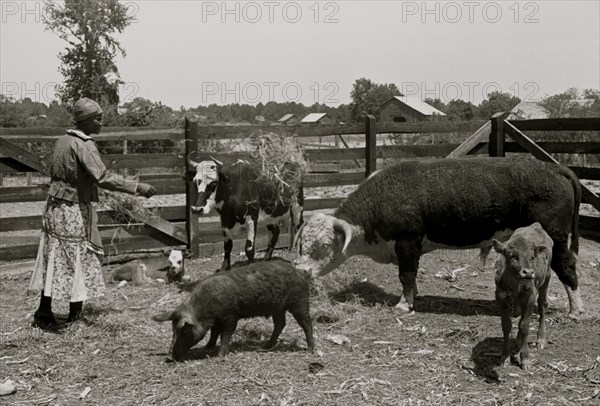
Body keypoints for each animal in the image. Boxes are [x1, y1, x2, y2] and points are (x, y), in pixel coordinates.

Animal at [152, 260, 316, 362]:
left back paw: (310, 350)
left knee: (306, 323)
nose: (168, 358)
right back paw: (265, 347)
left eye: (183, 331)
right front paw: (208, 346)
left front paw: (220, 356)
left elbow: (225, 334)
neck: (204, 308)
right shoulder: (217, 319)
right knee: (280, 324)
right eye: (173, 330)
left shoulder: (230, 316)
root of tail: (301, 272)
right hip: (278, 308)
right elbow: (214, 332)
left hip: (299, 301)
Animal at [292, 157, 584, 318]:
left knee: (567, 267)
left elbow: (406, 274)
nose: (300, 271)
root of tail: (555, 168)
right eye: (302, 243)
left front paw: (404, 304)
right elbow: (410, 276)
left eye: (325, 245)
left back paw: (575, 310)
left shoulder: (407, 241)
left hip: (557, 238)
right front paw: (413, 296)